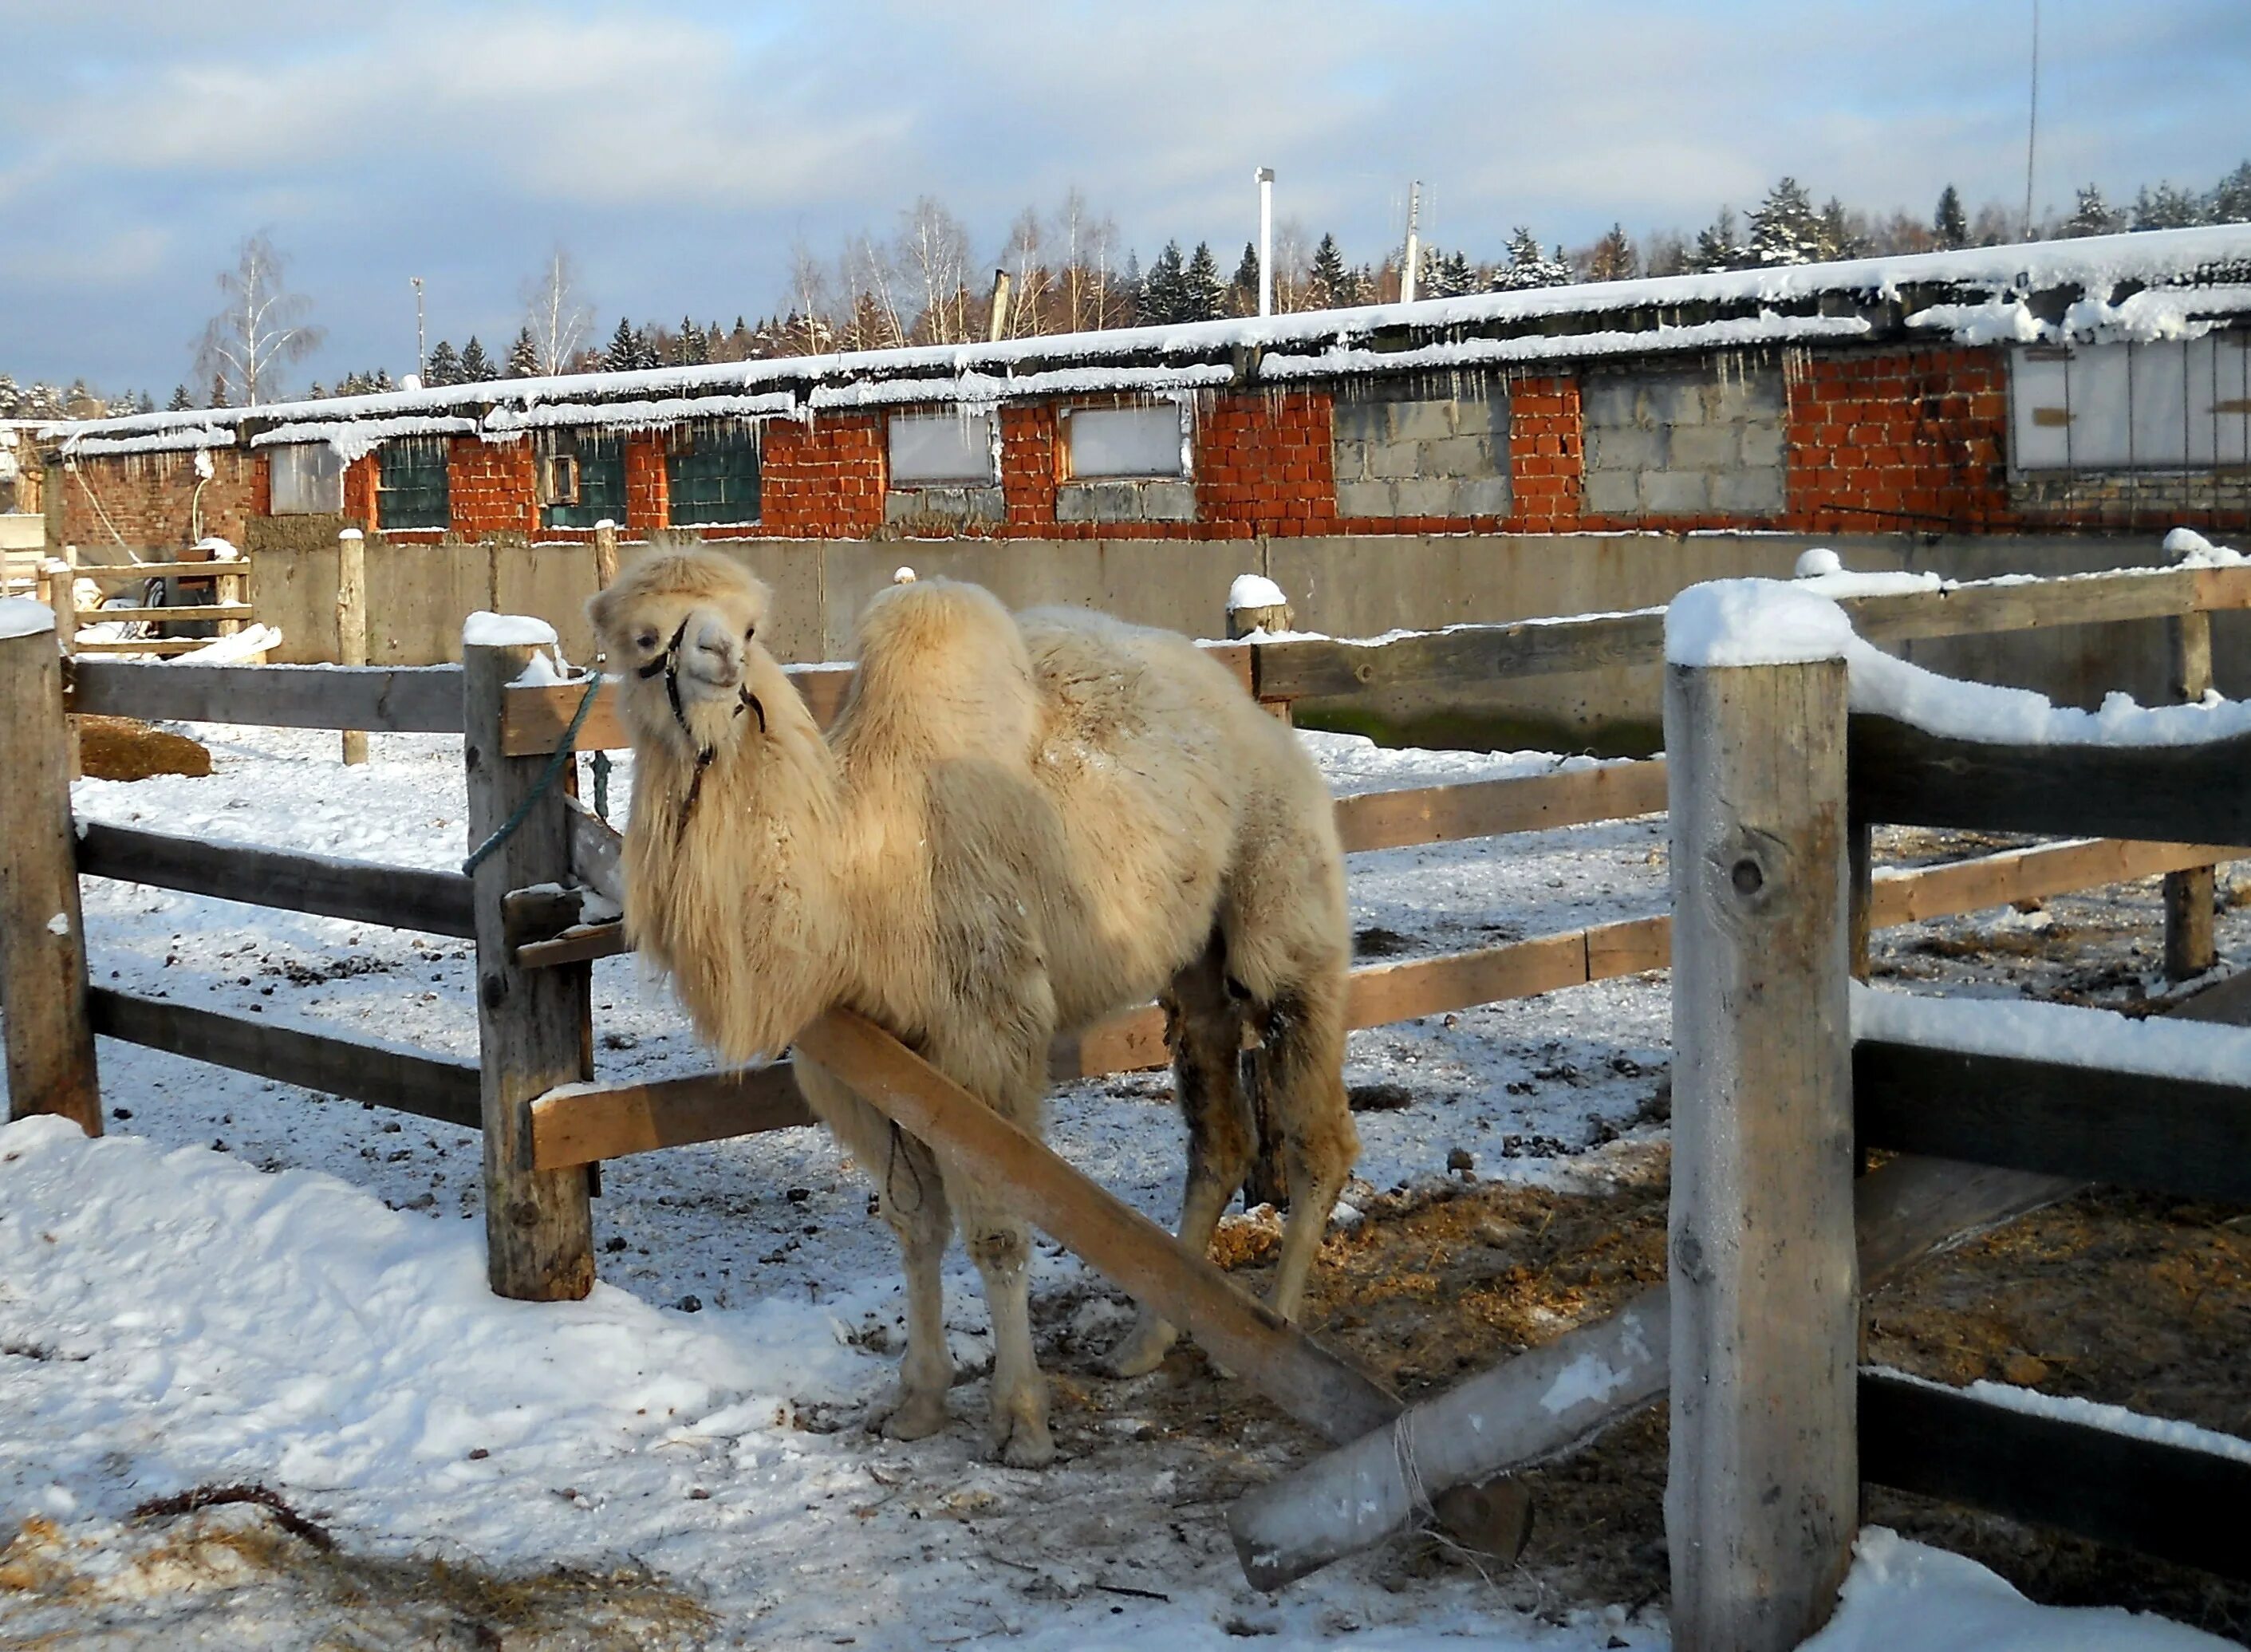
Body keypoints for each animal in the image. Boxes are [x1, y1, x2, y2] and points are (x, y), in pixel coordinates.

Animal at [585, 555, 1350, 1476]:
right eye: (643, 639)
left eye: (750, 625)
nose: (723, 659)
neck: (860, 868)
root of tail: (1266, 726)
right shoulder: (854, 1061)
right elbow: (914, 1227)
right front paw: (916, 1401)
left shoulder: (984, 1033)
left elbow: (997, 1232)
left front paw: (1020, 1420)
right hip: (1190, 965)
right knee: (1220, 1135)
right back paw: (1145, 1341)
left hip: (1283, 903)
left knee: (1317, 1127)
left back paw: (1278, 1334)